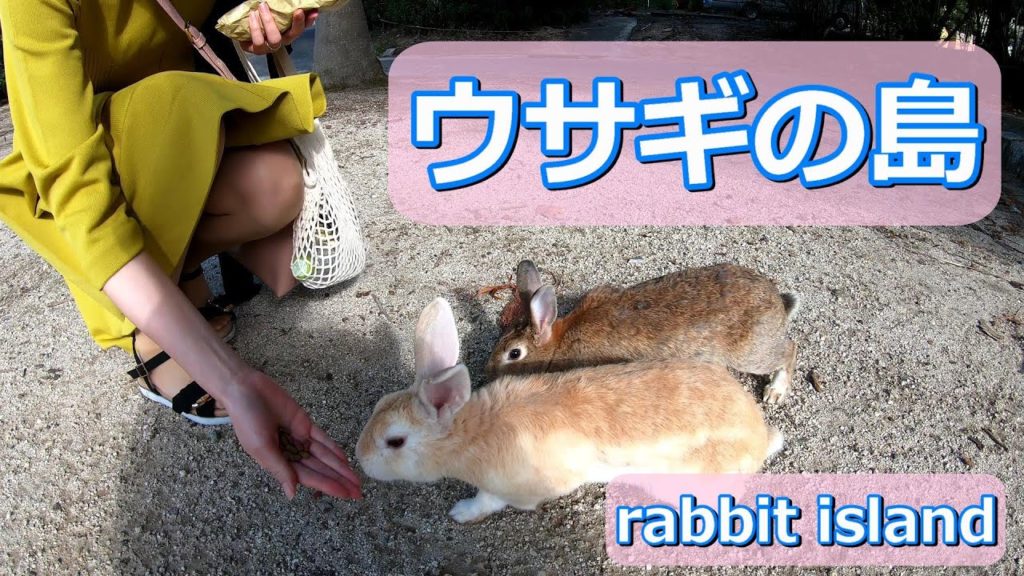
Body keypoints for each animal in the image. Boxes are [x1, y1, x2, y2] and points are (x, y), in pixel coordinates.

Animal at [356, 298, 783, 524]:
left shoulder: (511, 488)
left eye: (395, 441)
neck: (471, 434)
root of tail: (761, 437)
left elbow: (487, 501)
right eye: (376, 405)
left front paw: (461, 513)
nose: (360, 460)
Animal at [486, 260, 800, 404]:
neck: (558, 342)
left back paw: (775, 391)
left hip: (751, 353)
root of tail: (778, 304)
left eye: (514, 353)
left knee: (789, 349)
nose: (487, 372)